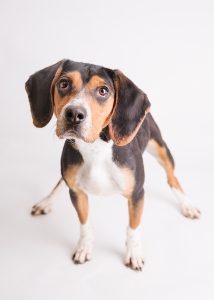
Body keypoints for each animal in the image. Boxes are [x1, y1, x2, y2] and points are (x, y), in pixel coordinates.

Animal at [25, 59, 201, 270]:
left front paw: (133, 253)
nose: (74, 114)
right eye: (63, 84)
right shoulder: (77, 192)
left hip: (161, 148)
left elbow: (133, 228)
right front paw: (84, 247)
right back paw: (46, 201)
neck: (95, 148)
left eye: (103, 91)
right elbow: (85, 224)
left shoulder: (136, 194)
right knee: (60, 181)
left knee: (172, 177)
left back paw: (187, 205)